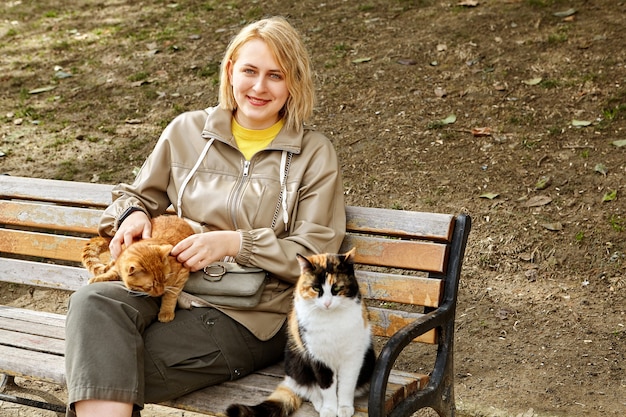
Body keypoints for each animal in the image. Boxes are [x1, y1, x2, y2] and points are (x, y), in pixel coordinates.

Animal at [225, 249, 376, 416]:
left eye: (337, 289)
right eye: (316, 288)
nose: (327, 303)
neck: (330, 320)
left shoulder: (353, 356)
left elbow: (347, 385)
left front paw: (344, 408)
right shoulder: (317, 357)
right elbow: (326, 386)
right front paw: (329, 409)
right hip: (296, 362)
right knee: (308, 388)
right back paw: (320, 404)